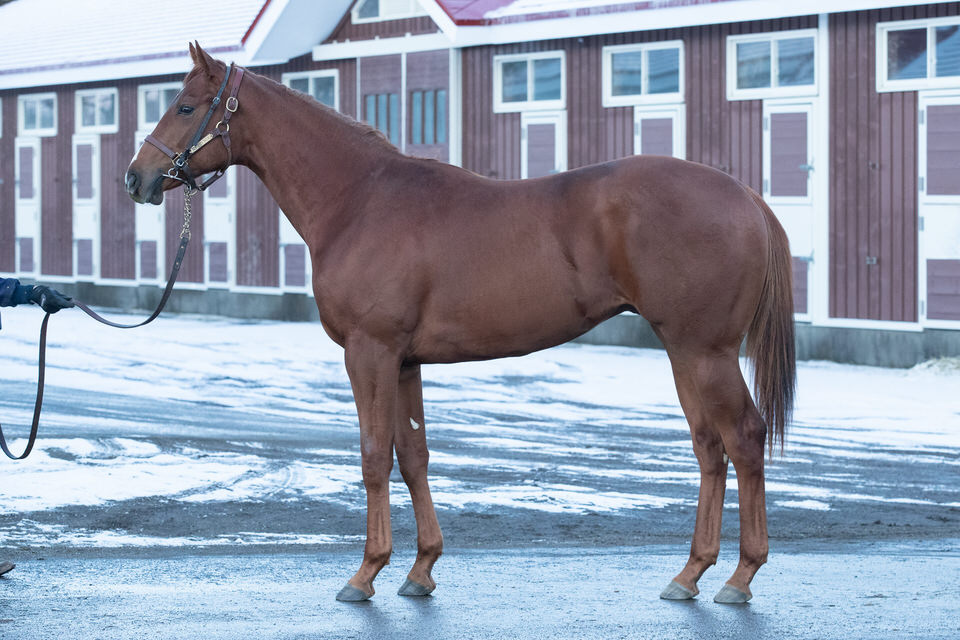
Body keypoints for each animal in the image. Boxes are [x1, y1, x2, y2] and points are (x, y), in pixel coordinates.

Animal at [126, 43, 795, 604]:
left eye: (186, 106)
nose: (137, 178)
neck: (359, 200)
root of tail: (745, 197)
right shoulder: (404, 362)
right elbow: (414, 455)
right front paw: (421, 569)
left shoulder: (369, 353)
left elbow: (374, 456)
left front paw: (364, 573)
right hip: (682, 352)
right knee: (710, 447)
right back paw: (690, 574)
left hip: (704, 352)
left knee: (744, 438)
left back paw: (739, 577)